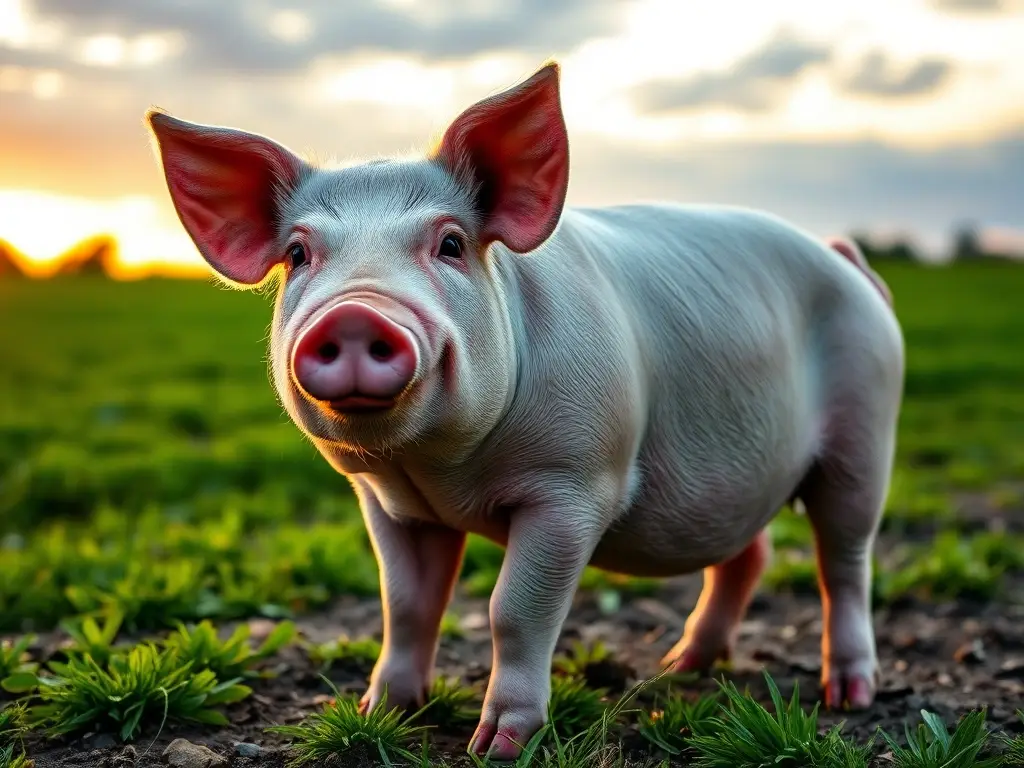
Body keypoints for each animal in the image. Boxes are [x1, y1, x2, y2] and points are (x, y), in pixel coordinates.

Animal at [145, 61, 904, 760]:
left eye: (451, 244)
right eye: (299, 253)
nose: (357, 313)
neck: (445, 474)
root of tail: (846, 261)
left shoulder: (574, 486)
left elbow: (513, 608)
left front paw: (496, 746)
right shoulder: (387, 502)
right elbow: (406, 605)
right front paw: (377, 713)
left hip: (866, 428)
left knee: (844, 559)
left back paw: (848, 694)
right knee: (748, 555)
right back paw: (678, 667)